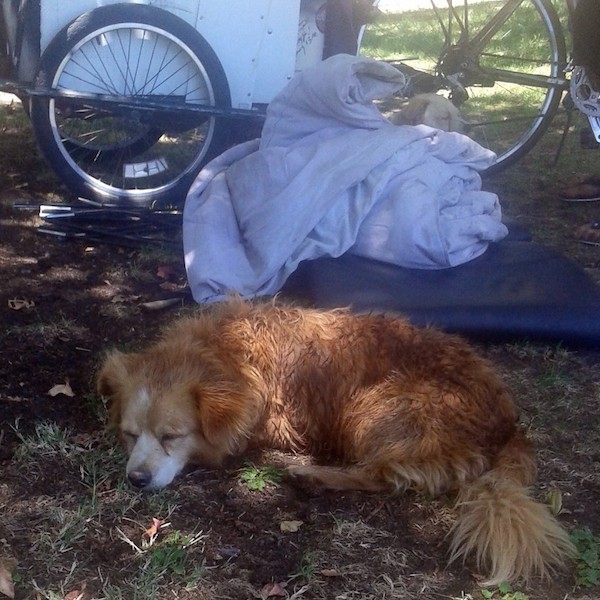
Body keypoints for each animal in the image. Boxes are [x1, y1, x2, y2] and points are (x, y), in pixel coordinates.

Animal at [97, 302, 572, 584]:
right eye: (130, 433)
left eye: (171, 436)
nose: (136, 479)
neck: (224, 353)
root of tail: (508, 423)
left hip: (376, 407)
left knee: (386, 475)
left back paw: (314, 475)